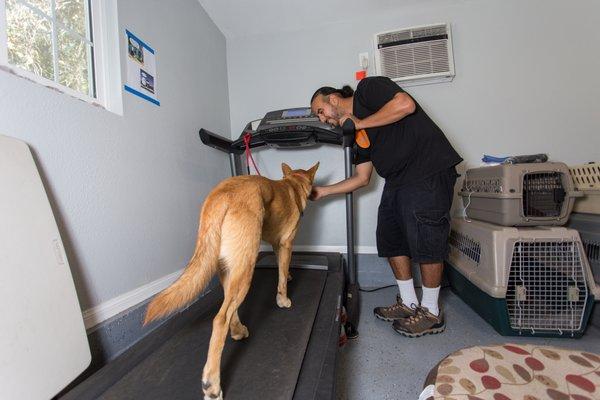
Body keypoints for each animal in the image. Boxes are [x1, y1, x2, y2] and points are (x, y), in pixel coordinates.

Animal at [143, 161, 318, 398]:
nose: (317, 193)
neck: (292, 183)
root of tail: (220, 196)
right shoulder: (286, 243)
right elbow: (281, 276)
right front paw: (283, 299)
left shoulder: (277, 245)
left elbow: (283, 269)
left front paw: (289, 276)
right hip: (246, 266)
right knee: (220, 319)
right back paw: (212, 384)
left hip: (229, 268)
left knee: (229, 306)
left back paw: (238, 330)